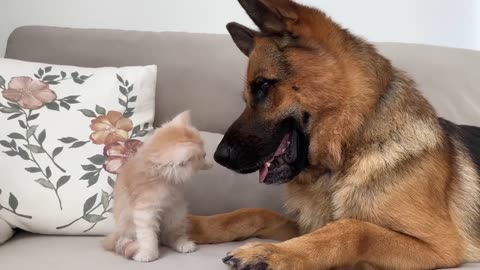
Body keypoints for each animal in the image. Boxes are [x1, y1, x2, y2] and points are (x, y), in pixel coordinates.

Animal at [105, 110, 214, 262]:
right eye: (203, 156)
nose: (210, 161)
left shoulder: (172, 205)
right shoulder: (144, 211)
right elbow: (148, 235)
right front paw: (148, 253)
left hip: (178, 212)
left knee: (170, 234)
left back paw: (181, 243)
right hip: (127, 226)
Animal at [187, 1, 480, 268]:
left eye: (264, 86)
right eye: (248, 95)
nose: (219, 156)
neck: (351, 144)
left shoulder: (439, 247)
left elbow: (353, 228)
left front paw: (272, 253)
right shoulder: (307, 225)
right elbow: (257, 213)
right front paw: (192, 226)